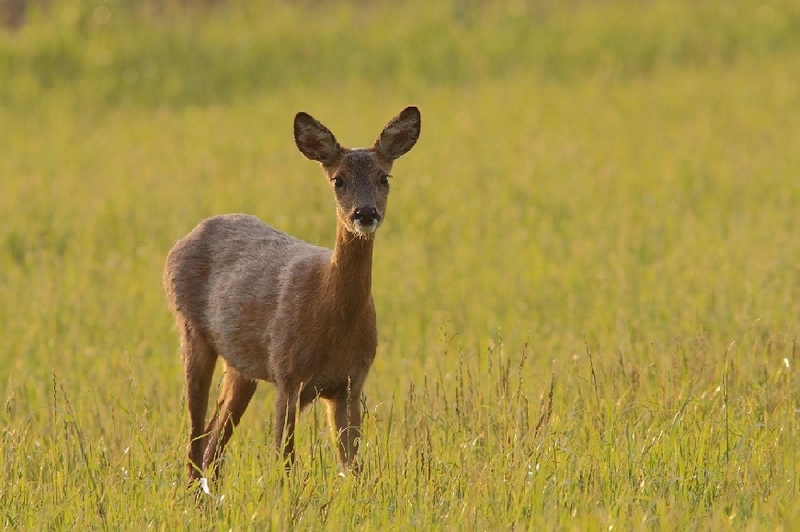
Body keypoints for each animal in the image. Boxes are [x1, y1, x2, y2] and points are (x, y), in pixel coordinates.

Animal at [164, 106, 424, 484]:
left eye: (385, 177)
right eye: (338, 180)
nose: (365, 213)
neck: (331, 317)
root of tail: (184, 239)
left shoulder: (352, 382)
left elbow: (352, 467)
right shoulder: (288, 375)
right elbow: (284, 462)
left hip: (241, 366)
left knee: (214, 438)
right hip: (192, 332)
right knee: (196, 439)